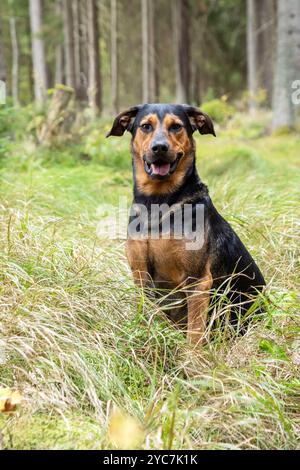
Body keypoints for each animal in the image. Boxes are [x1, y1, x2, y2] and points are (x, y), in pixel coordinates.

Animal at [106, 104, 264, 346]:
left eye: (176, 127)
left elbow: (195, 334)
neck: (158, 203)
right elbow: (151, 316)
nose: (159, 147)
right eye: (145, 126)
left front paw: (191, 356)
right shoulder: (141, 276)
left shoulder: (198, 281)